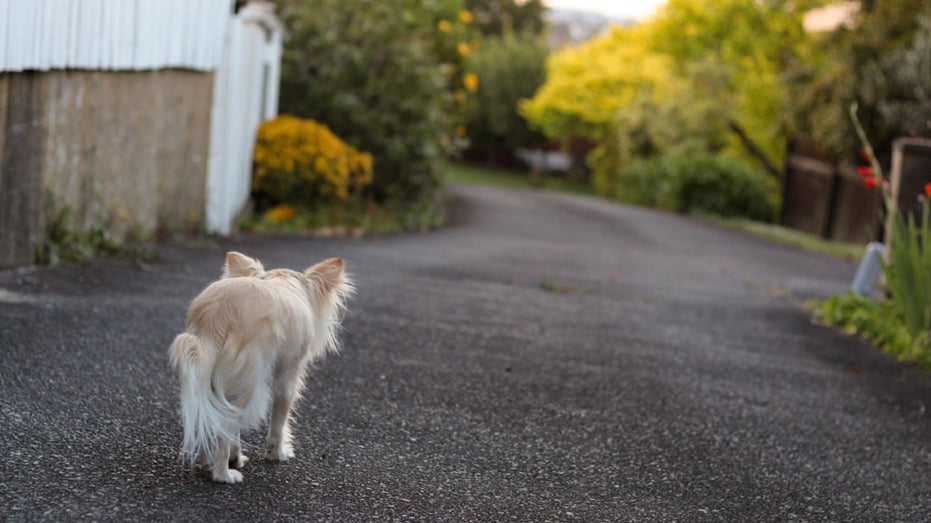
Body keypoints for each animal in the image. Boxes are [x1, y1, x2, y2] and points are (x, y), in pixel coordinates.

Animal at [169, 252, 352, 486]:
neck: (283, 279)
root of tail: (217, 314)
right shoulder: (287, 378)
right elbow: (279, 423)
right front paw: (277, 454)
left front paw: (236, 457)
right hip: (253, 383)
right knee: (226, 424)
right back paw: (224, 474)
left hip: (208, 373)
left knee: (213, 418)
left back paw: (210, 460)